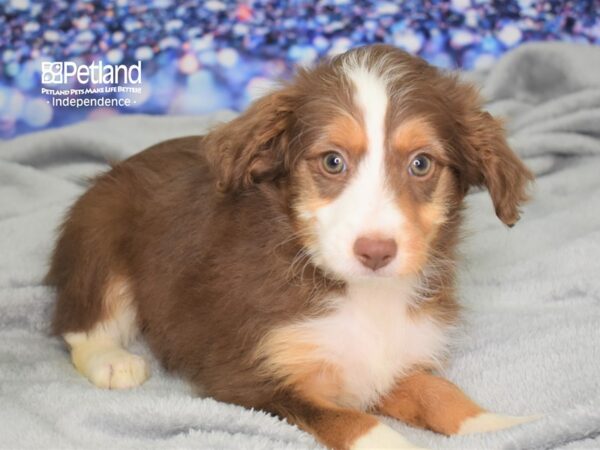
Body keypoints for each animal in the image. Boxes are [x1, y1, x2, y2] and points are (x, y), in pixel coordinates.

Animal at [47, 46, 536, 450]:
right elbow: (356, 424)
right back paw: (113, 362)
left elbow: (439, 393)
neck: (360, 294)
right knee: (81, 322)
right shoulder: (248, 377)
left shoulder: (387, 362)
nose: (375, 252)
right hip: (99, 236)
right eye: (332, 161)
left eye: (421, 164)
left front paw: (497, 425)